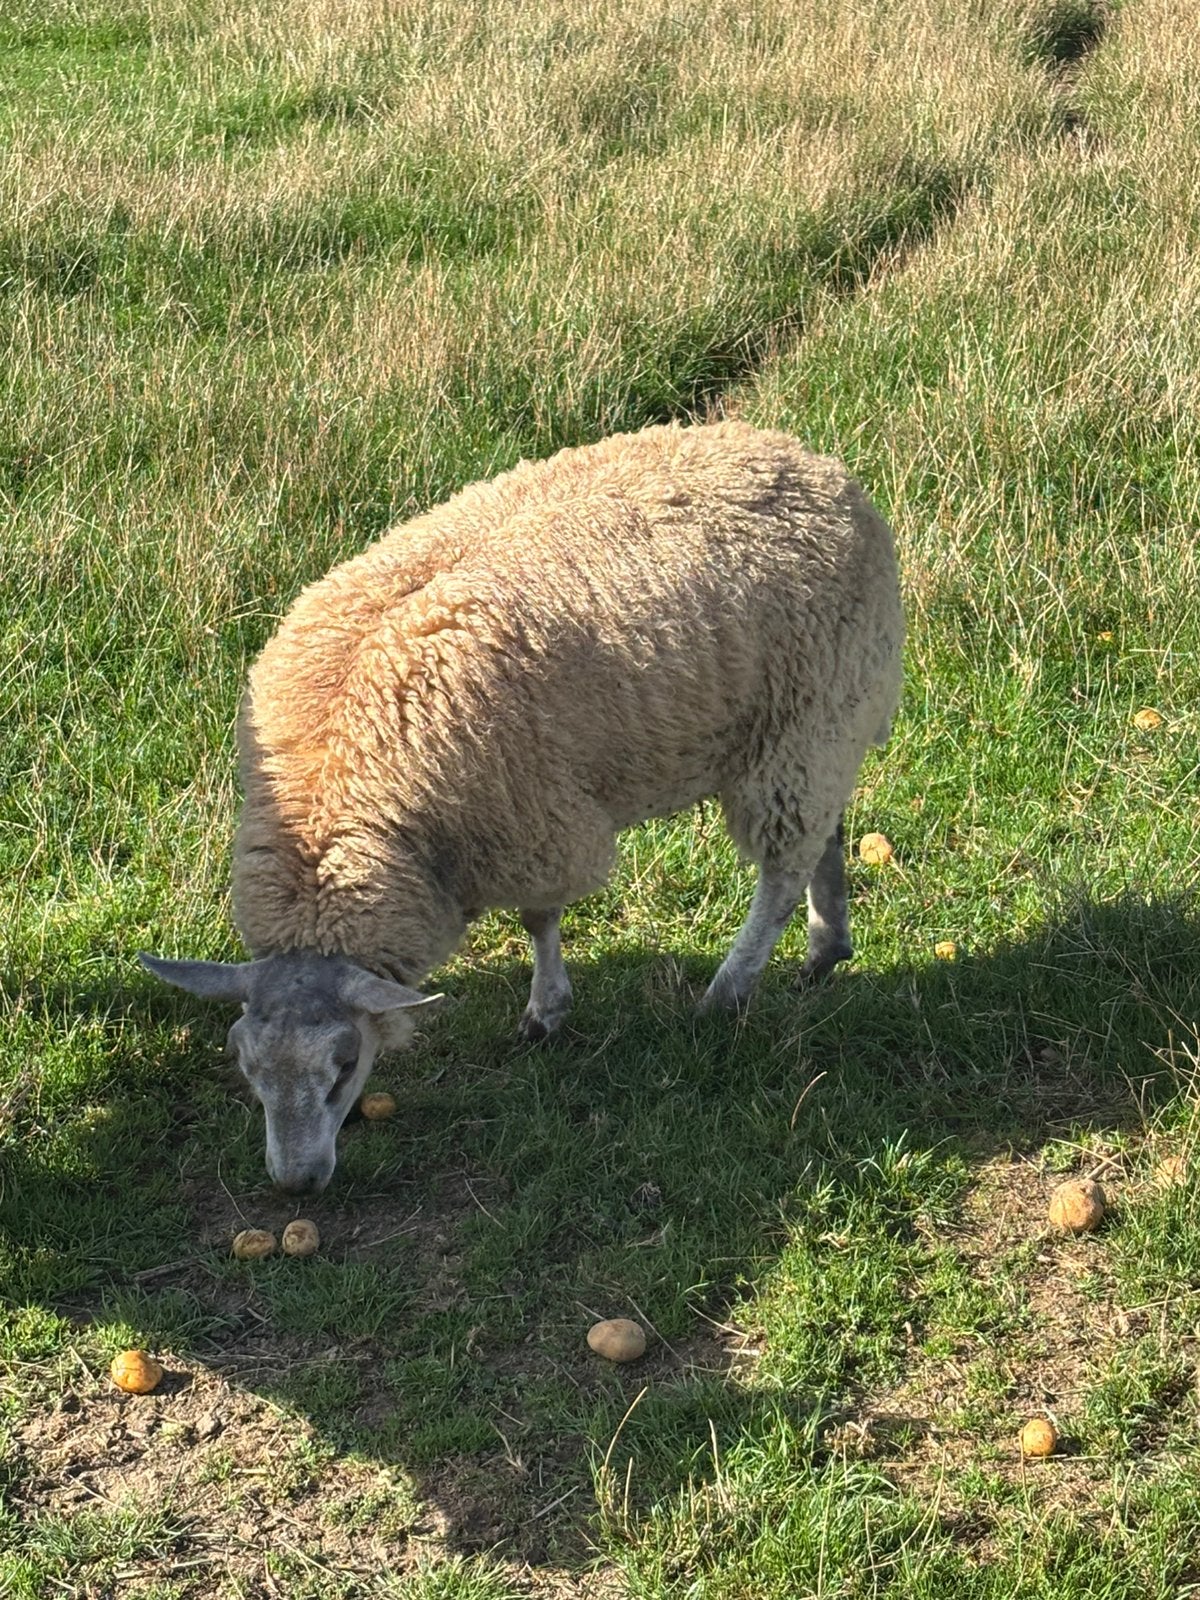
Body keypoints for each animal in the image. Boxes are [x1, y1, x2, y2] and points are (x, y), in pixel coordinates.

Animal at [141, 419, 903, 1193]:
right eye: (244, 1063)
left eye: (345, 1064)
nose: (297, 1183)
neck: (341, 804)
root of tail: (804, 459)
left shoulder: (530, 818)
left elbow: (539, 918)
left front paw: (545, 1013)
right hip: (822, 725)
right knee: (826, 828)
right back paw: (826, 946)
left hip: (810, 709)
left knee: (781, 872)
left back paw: (729, 992)